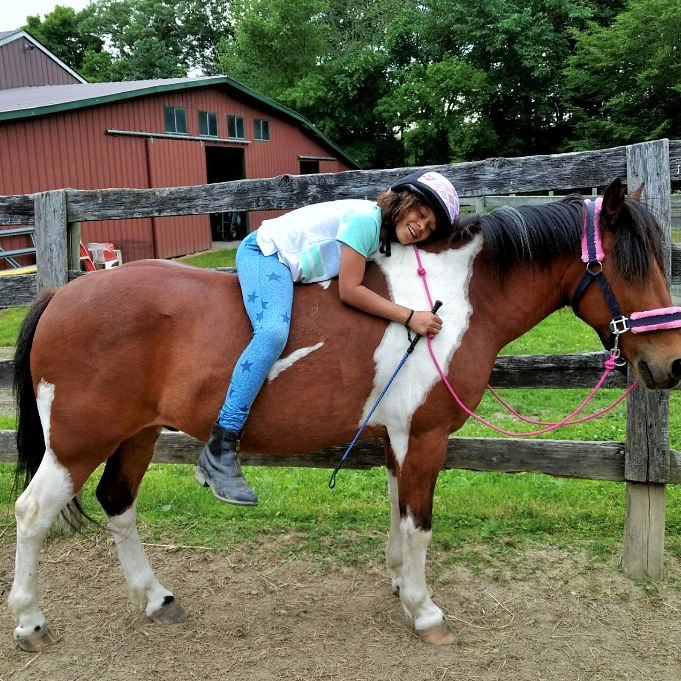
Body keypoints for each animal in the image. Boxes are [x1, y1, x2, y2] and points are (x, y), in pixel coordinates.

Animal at [7, 177, 680, 648]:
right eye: (631, 264)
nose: (670, 365)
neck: (453, 300)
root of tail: (62, 293)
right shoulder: (424, 436)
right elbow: (419, 522)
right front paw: (424, 610)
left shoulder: (397, 436)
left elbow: (397, 514)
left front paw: (399, 584)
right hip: (77, 440)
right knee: (33, 513)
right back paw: (30, 623)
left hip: (138, 434)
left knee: (117, 502)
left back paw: (155, 599)